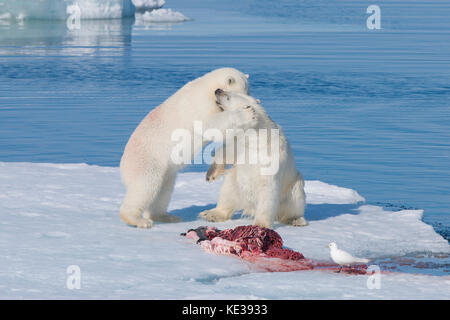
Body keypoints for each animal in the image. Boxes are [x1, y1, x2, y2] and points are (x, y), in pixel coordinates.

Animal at [119, 67, 253, 228]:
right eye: (244, 91)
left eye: (248, 90)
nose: (252, 100)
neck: (209, 89)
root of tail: (123, 164)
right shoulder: (199, 105)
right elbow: (210, 124)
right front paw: (245, 113)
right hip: (147, 161)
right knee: (145, 186)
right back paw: (138, 219)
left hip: (167, 172)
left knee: (164, 191)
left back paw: (166, 216)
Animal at [199, 90, 308, 228]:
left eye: (229, 96)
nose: (218, 90)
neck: (254, 137)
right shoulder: (240, 146)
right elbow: (226, 152)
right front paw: (211, 174)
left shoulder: (269, 156)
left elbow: (267, 189)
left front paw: (260, 225)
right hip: (235, 182)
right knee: (228, 190)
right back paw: (211, 214)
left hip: (292, 185)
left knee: (294, 198)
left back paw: (295, 219)